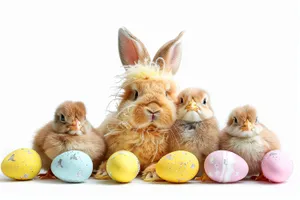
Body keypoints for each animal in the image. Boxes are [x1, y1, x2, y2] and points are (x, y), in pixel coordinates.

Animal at [95, 27, 184, 181]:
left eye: (166, 93)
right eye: (135, 94)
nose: (153, 109)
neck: (147, 131)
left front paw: (151, 173)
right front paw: (103, 171)